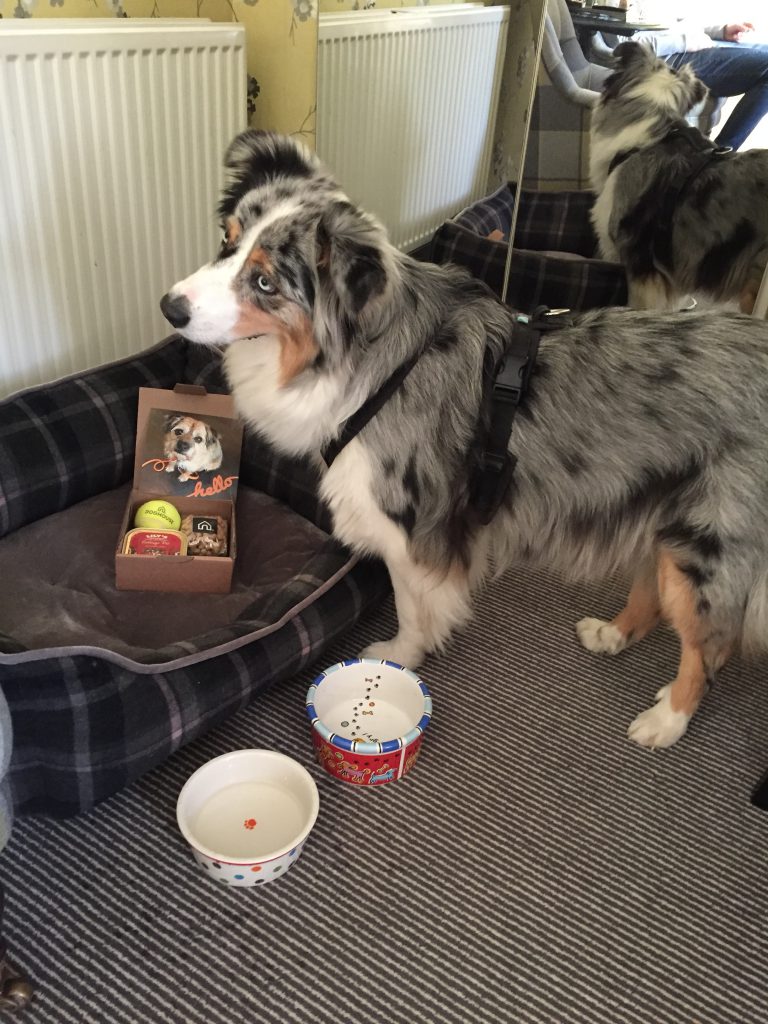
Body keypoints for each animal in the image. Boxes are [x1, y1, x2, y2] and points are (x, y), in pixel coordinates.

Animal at [160, 129, 768, 749]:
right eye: (227, 240)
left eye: (265, 282)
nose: (169, 307)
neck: (372, 365)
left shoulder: (412, 530)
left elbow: (412, 608)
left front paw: (401, 656)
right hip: (658, 514)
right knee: (653, 596)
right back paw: (613, 634)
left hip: (708, 544)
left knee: (708, 647)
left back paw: (666, 719)